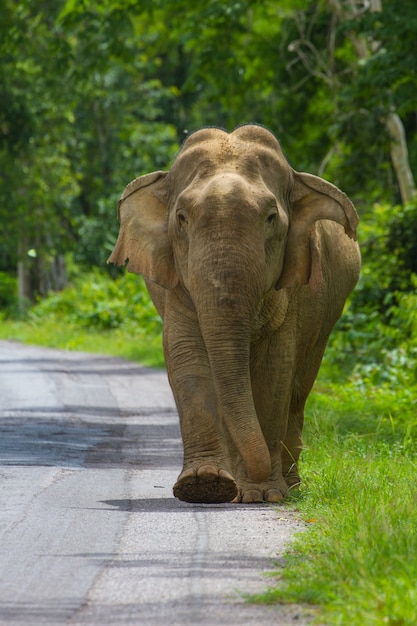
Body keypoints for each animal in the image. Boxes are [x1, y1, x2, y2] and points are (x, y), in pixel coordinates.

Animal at [109, 125, 360, 502]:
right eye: (181, 218)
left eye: (271, 218)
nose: (255, 479)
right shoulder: (176, 286)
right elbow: (186, 356)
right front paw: (204, 485)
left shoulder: (292, 287)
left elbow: (274, 368)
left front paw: (262, 494)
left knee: (299, 387)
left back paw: (289, 485)